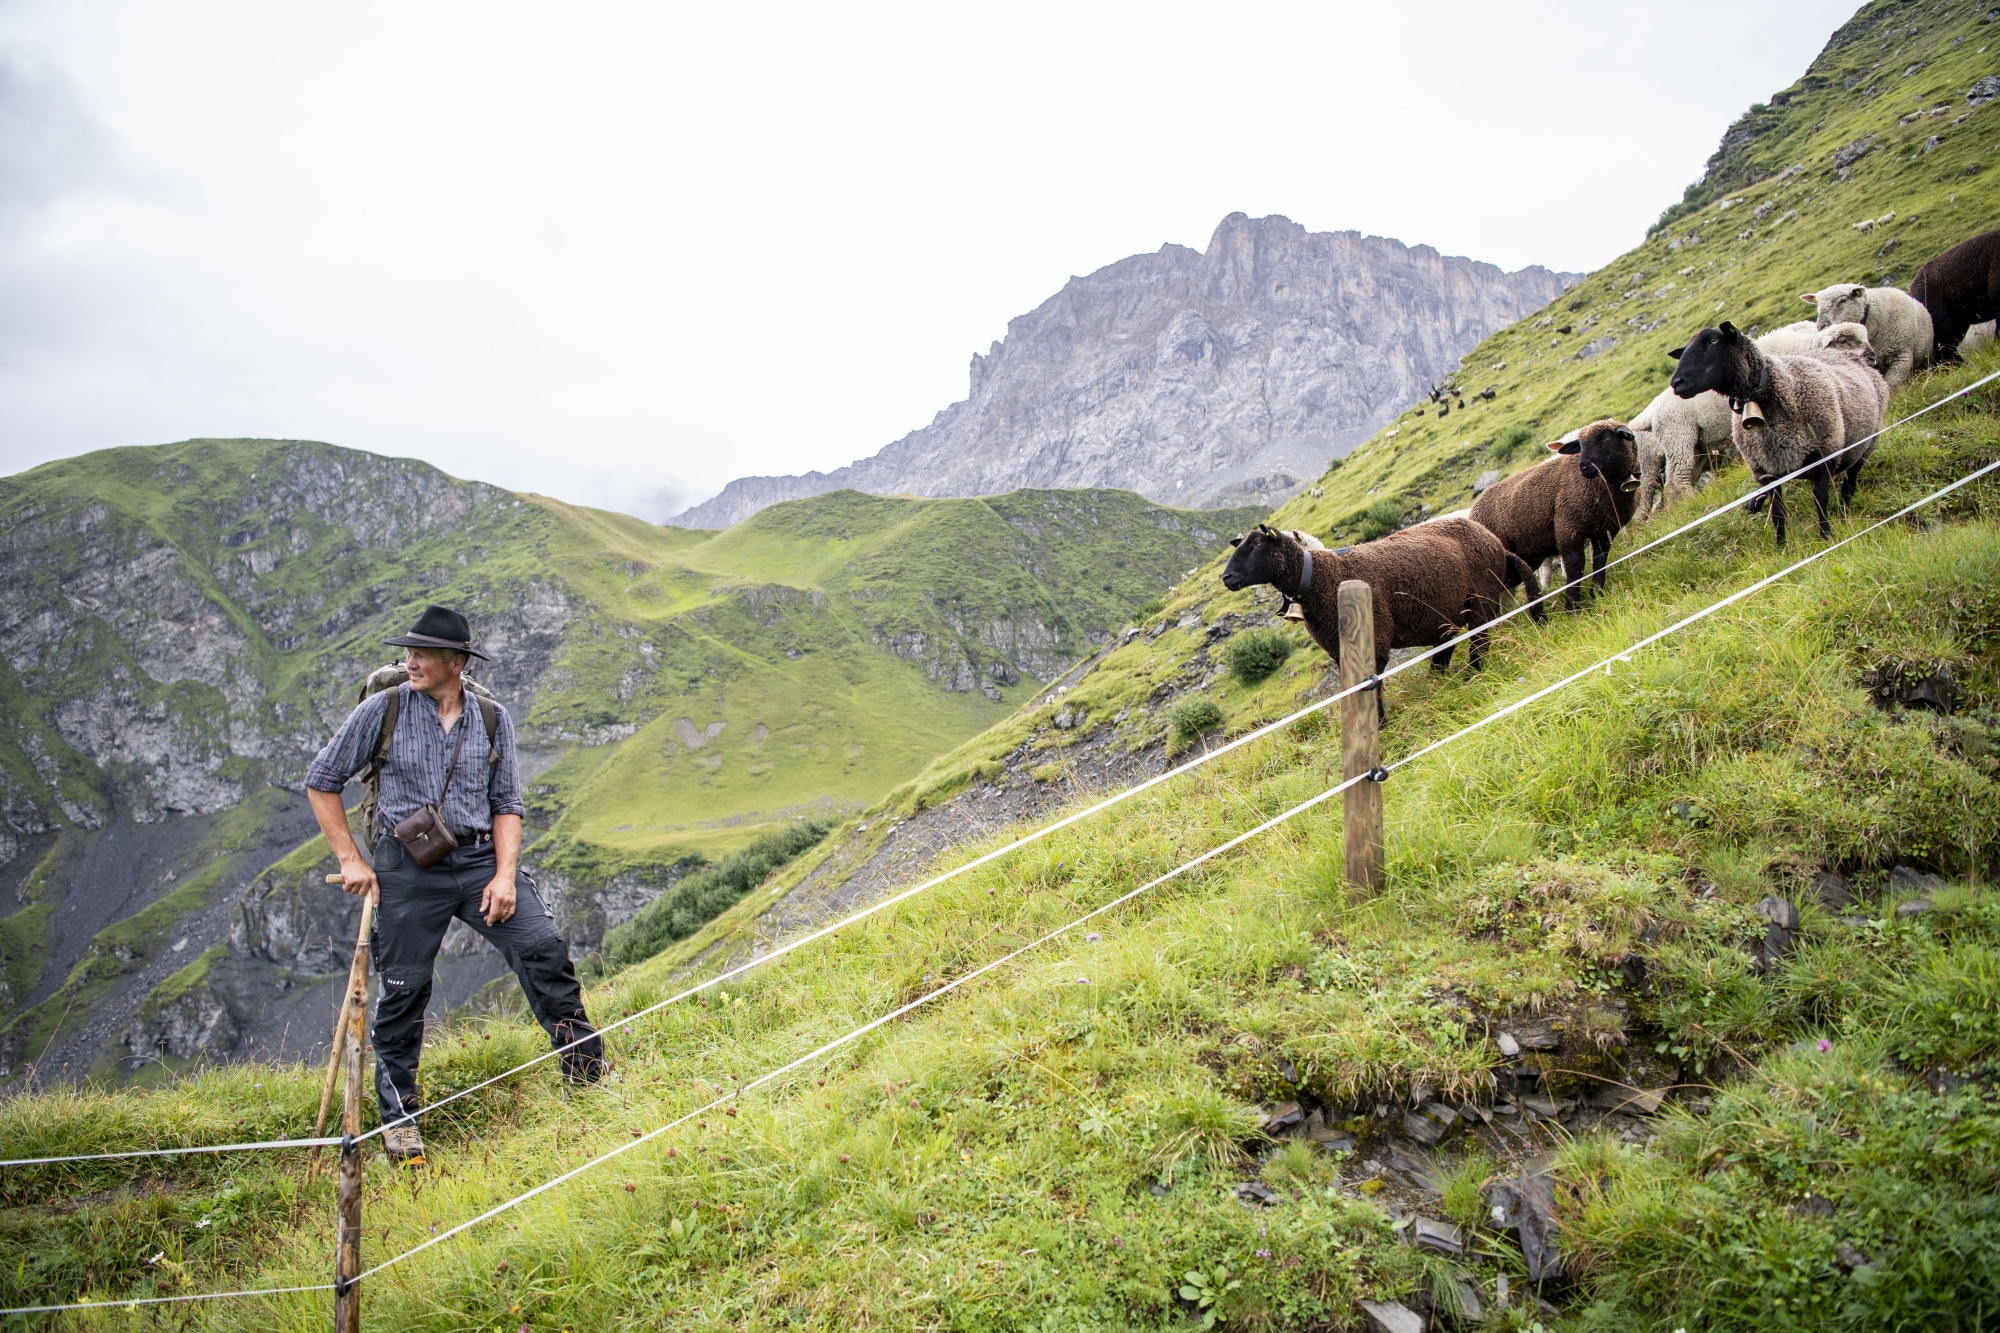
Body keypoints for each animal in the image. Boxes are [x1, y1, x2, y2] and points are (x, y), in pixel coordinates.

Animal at [1208, 516, 1536, 720]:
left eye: (1257, 544)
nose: (1227, 578)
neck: (1321, 578)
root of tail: (1492, 539)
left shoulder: (1374, 638)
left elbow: (1371, 686)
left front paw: (1378, 727)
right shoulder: (1337, 648)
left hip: (1481, 598)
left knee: (1479, 641)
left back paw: (1472, 676)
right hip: (1447, 612)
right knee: (1447, 650)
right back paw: (1439, 683)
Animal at [1472, 418, 1640, 608]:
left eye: (1604, 438)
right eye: (1580, 445)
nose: (1584, 467)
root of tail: (1474, 510)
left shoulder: (1605, 530)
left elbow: (1600, 561)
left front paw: (1597, 596)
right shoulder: (1568, 527)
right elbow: (1575, 567)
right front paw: (1573, 607)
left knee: (1507, 587)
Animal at [1672, 320, 1888, 544]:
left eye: (1714, 341)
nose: (1676, 382)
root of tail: (1851, 356)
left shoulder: (1825, 454)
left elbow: (1820, 498)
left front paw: (1825, 537)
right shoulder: (1765, 470)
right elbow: (1778, 512)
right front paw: (1782, 545)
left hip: (1867, 444)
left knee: (1849, 485)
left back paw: (1845, 516)